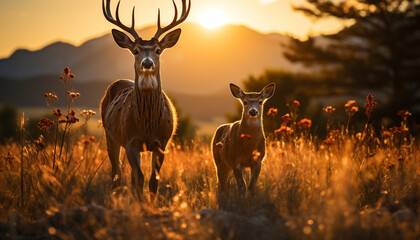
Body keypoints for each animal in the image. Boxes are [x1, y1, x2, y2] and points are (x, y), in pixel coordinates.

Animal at [100, 0, 190, 198]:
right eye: (135, 50)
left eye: (158, 50)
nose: (147, 63)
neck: (148, 125)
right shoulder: (131, 141)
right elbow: (139, 178)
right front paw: (139, 203)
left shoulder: (162, 144)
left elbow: (153, 180)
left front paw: (150, 202)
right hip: (110, 136)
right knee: (116, 172)